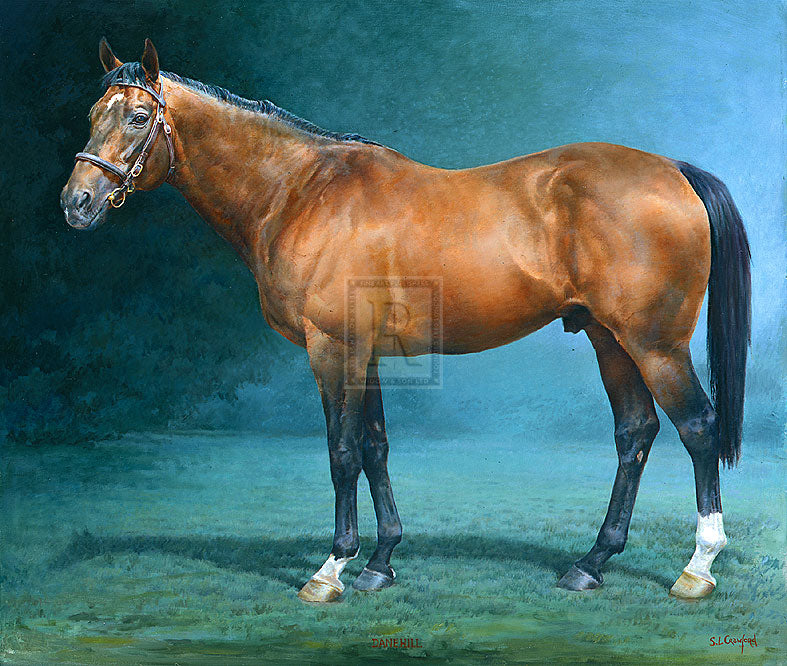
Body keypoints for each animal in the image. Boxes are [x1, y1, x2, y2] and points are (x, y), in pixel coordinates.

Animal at [61, 39, 750, 603]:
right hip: (610, 341)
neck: (300, 191)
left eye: (138, 116)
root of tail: (673, 170)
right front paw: (380, 561)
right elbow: (375, 447)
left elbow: (341, 452)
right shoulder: (364, 352)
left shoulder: (331, 348)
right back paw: (591, 563)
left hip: (654, 344)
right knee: (636, 433)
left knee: (697, 426)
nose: (76, 203)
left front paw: (330, 570)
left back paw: (698, 567)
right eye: (94, 114)